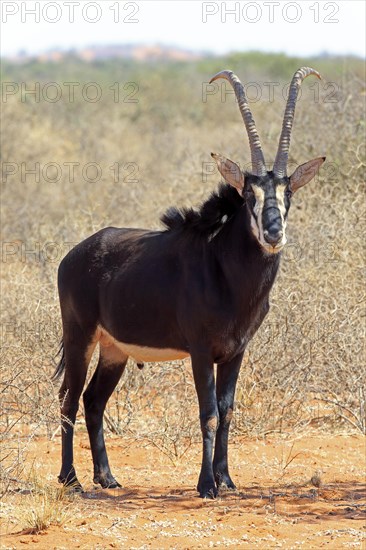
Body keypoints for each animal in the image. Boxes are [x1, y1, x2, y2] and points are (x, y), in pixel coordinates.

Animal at [54, 67, 326, 498]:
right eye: (249, 194)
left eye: (289, 195)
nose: (273, 233)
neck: (227, 271)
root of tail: (75, 255)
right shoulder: (200, 350)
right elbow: (209, 412)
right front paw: (206, 484)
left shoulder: (235, 352)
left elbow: (227, 410)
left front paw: (227, 479)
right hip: (80, 336)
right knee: (68, 398)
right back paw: (71, 479)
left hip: (114, 349)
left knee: (94, 400)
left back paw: (107, 477)